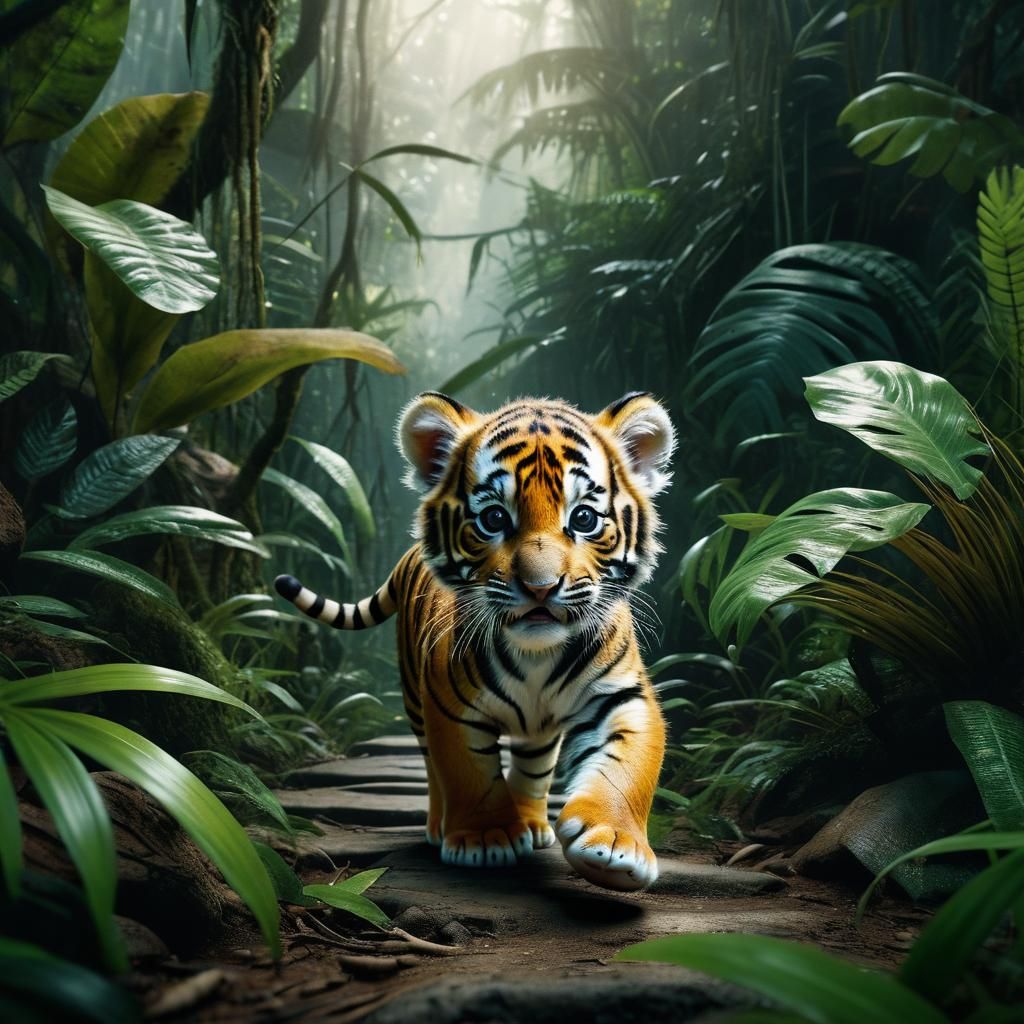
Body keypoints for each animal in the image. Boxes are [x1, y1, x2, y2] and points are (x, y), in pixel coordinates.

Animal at [274, 391, 675, 891]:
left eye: (583, 518)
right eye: (493, 518)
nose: (541, 588)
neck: (538, 654)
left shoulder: (622, 695)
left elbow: (626, 768)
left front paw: (616, 846)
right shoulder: (448, 704)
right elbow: (471, 774)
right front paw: (486, 840)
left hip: (537, 733)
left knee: (534, 767)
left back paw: (532, 823)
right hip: (415, 700)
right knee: (432, 769)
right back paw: (438, 826)